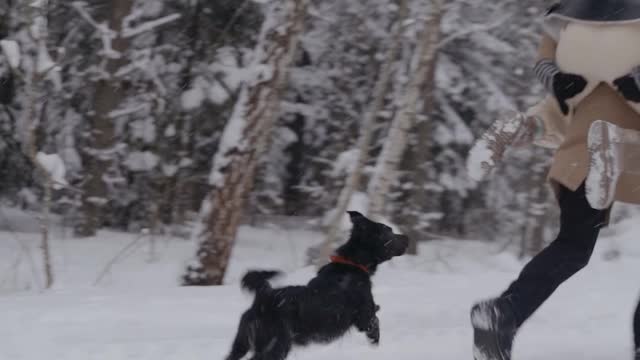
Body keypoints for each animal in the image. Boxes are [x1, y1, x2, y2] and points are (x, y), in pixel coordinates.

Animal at [225, 211, 408, 360]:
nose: (407, 238)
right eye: (389, 231)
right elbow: (375, 327)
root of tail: (264, 296)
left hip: (241, 345)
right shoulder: (365, 318)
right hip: (276, 345)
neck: (352, 264)